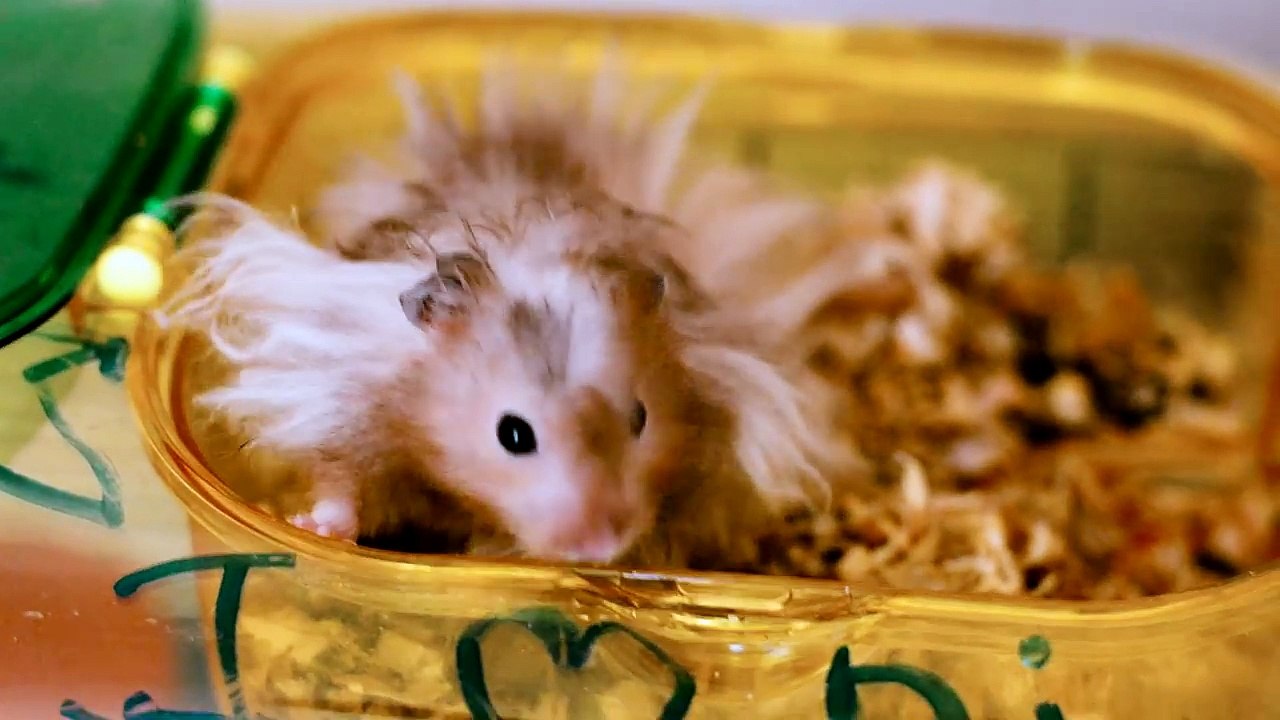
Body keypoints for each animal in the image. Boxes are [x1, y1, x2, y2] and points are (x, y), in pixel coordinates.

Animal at [159, 54, 838, 568]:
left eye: (641, 418)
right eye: (513, 435)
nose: (601, 545)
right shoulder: (341, 404)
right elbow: (340, 484)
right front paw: (314, 529)